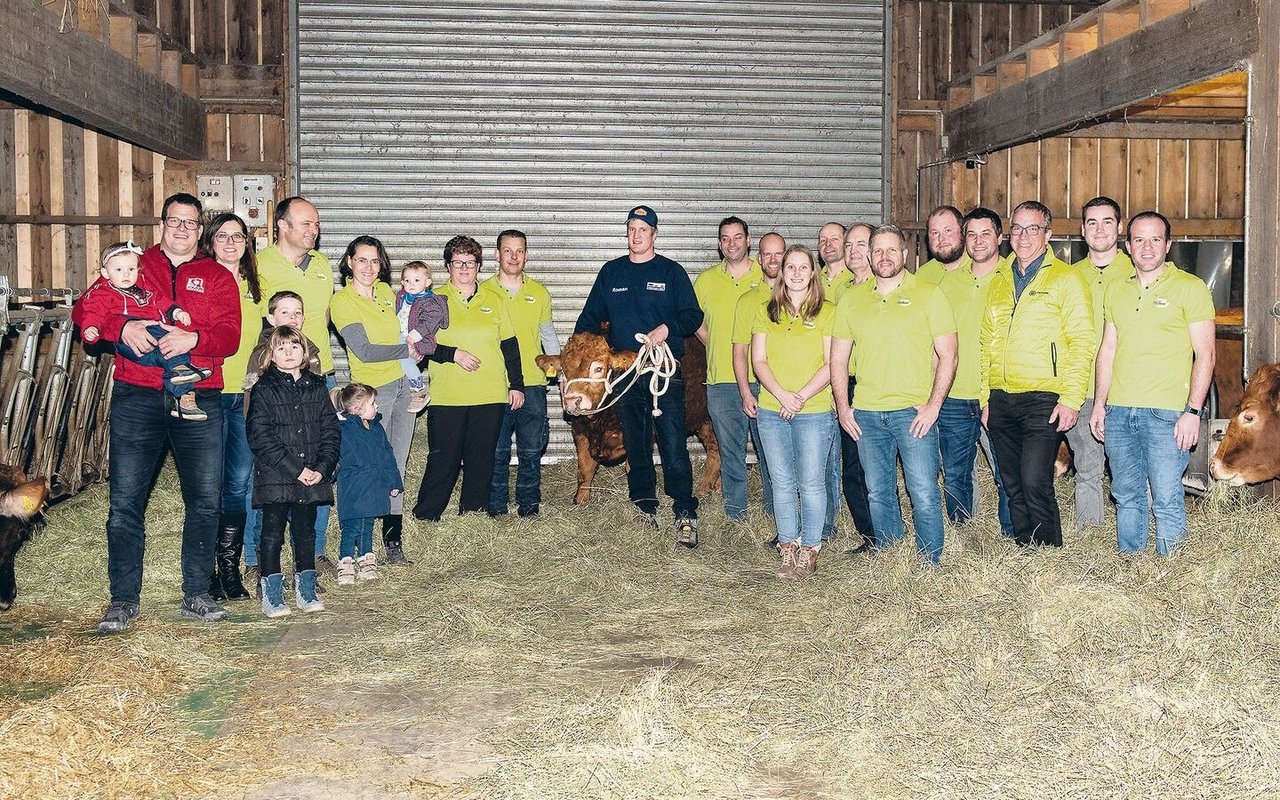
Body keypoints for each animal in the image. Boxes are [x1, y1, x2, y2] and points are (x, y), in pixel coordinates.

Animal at [535, 330, 721, 504]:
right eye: (563, 370)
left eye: (598, 368)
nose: (573, 401)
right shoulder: (580, 433)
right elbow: (584, 469)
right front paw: (580, 501)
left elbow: (633, 467)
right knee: (716, 450)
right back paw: (711, 488)